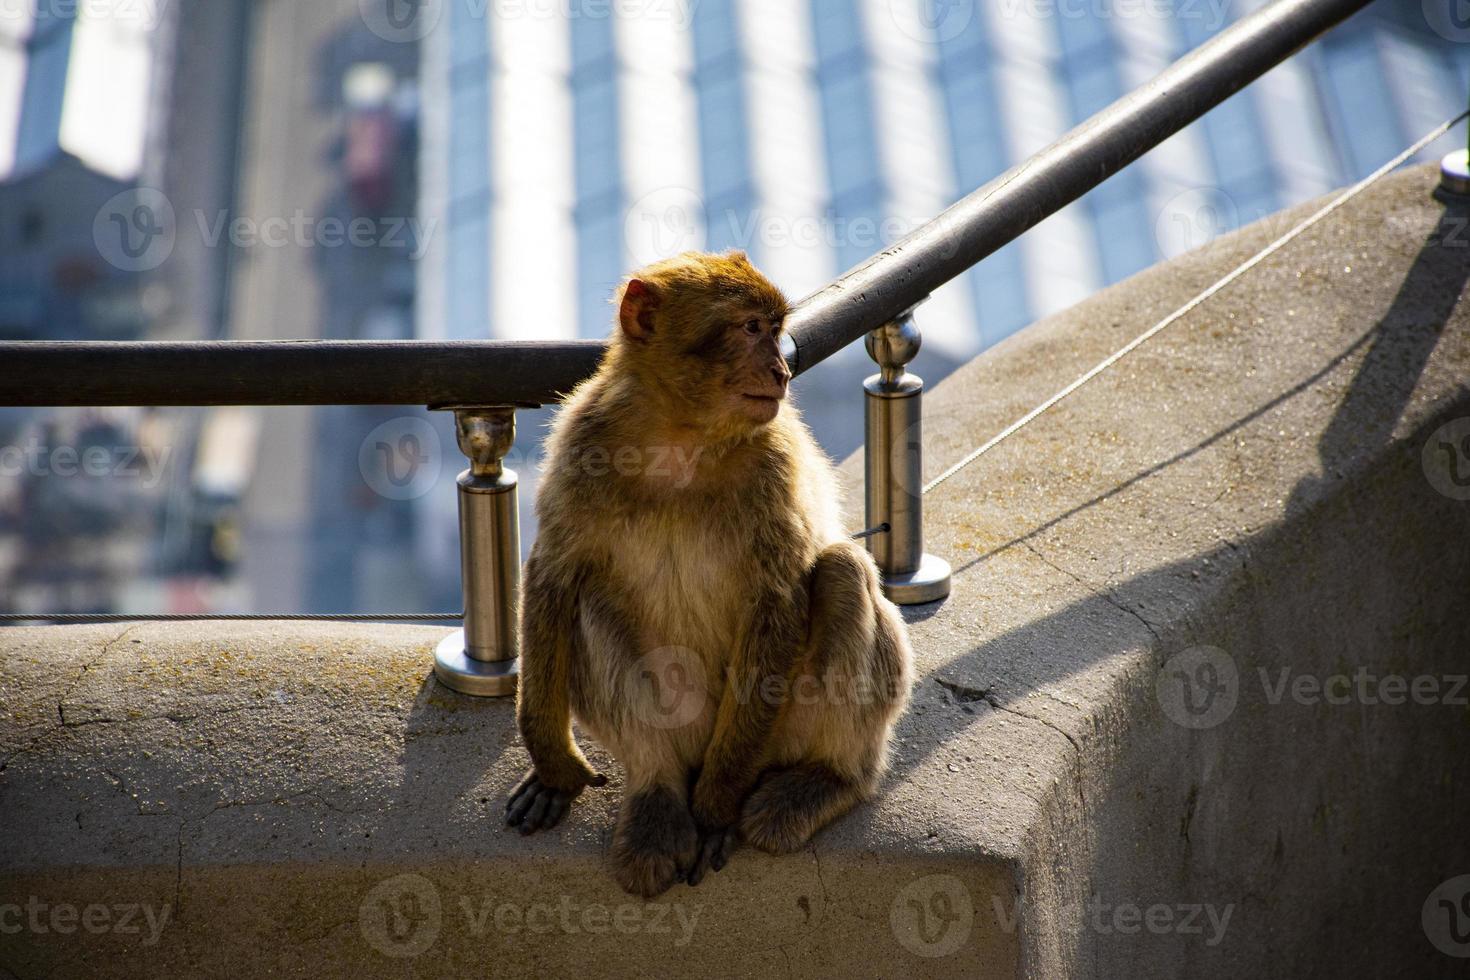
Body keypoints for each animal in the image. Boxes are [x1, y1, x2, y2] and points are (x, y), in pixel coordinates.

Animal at [511, 246, 911, 899]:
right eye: (751, 329)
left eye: (775, 330)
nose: (782, 371)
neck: (681, 436)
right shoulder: (580, 442)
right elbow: (555, 576)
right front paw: (552, 765)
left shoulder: (775, 460)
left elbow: (777, 599)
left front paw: (717, 810)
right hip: (685, 721)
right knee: (589, 600)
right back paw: (658, 797)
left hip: (780, 732)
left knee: (841, 571)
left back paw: (827, 780)